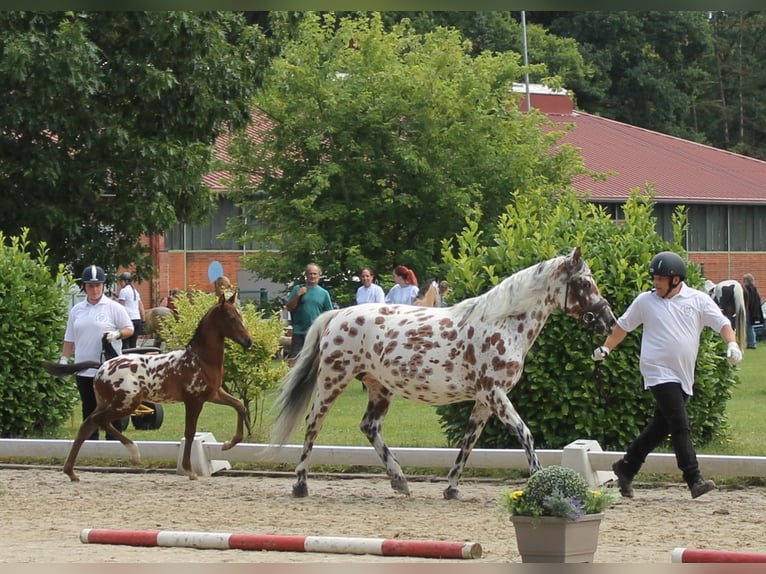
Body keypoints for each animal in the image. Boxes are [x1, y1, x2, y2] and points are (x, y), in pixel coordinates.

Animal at [45, 294, 252, 484]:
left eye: (240, 316)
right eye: (232, 318)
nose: (249, 341)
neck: (200, 359)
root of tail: (102, 366)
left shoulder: (214, 394)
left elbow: (239, 405)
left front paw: (228, 444)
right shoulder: (194, 401)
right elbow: (190, 432)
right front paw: (190, 470)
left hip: (106, 403)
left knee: (87, 425)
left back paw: (71, 472)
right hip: (126, 404)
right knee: (99, 421)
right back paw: (134, 452)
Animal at [272, 250, 620, 502]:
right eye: (584, 284)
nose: (608, 321)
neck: (503, 324)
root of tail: (336, 314)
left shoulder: (484, 400)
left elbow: (469, 442)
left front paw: (451, 488)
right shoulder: (495, 394)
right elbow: (525, 434)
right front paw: (539, 478)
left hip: (379, 387)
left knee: (369, 427)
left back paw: (400, 481)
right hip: (334, 379)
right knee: (313, 423)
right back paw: (301, 485)